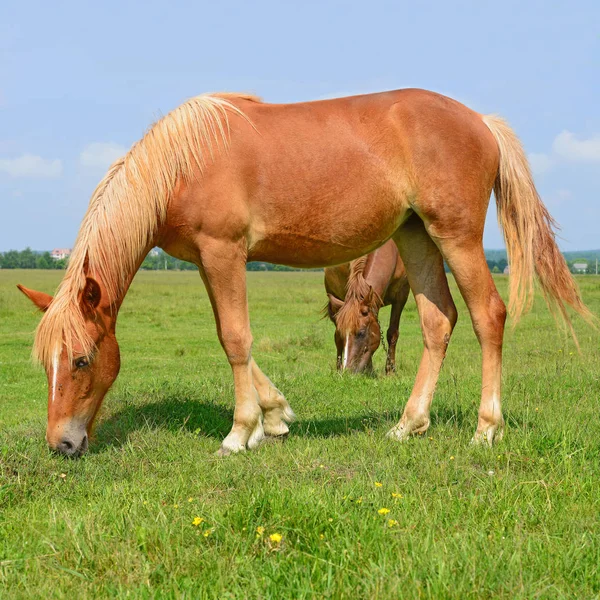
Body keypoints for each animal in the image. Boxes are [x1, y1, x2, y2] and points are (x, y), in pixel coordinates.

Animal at [324, 240, 412, 376]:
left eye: (361, 333)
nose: (348, 371)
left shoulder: (400, 297)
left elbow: (392, 333)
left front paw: (390, 372)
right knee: (337, 338)